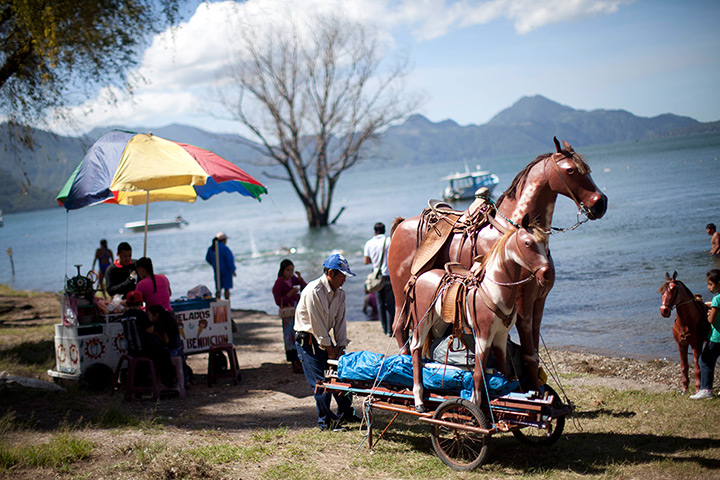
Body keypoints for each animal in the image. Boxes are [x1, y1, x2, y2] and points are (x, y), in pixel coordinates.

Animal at [389, 138, 608, 391]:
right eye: (571, 170)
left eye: (587, 169)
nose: (601, 204)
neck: (512, 232)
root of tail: (401, 224)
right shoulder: (522, 304)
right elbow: (529, 353)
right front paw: (533, 391)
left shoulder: (539, 301)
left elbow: (532, 349)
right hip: (402, 294)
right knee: (399, 329)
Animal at [409, 214, 553, 412]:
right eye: (528, 243)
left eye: (544, 243)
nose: (547, 274)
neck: (493, 289)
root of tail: (420, 277)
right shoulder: (483, 335)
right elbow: (478, 372)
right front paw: (474, 405)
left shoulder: (500, 335)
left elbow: (502, 367)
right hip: (422, 322)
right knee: (415, 349)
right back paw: (419, 400)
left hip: (439, 324)